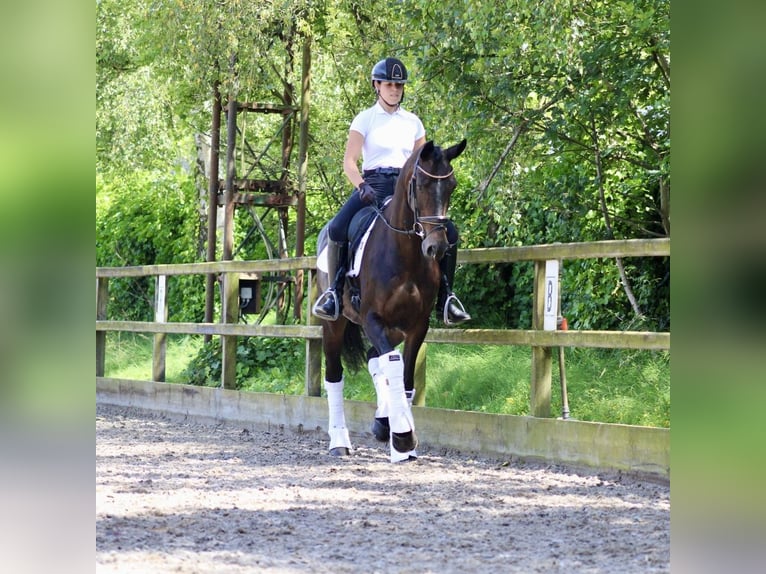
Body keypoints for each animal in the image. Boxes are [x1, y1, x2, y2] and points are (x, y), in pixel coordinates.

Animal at [316, 138, 472, 464]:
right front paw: (402, 437)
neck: (405, 254)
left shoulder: (417, 326)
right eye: (421, 184)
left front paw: (402, 439)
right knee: (335, 374)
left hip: (392, 328)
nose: (436, 248)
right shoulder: (372, 318)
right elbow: (393, 364)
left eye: (451, 185)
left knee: (373, 358)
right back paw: (340, 442)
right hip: (335, 324)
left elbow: (406, 378)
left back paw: (382, 422)